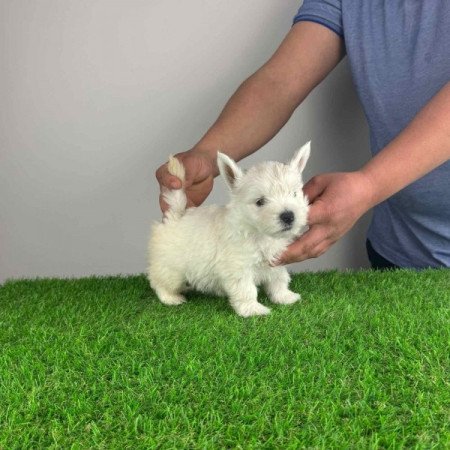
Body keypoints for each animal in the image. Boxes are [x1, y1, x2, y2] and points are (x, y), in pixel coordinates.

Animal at [148, 142, 310, 316]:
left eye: (294, 194)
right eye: (260, 202)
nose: (288, 216)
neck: (259, 233)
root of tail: (176, 216)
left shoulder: (276, 262)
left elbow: (279, 280)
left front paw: (285, 297)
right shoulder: (238, 268)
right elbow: (247, 289)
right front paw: (252, 309)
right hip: (171, 268)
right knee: (158, 281)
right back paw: (171, 298)